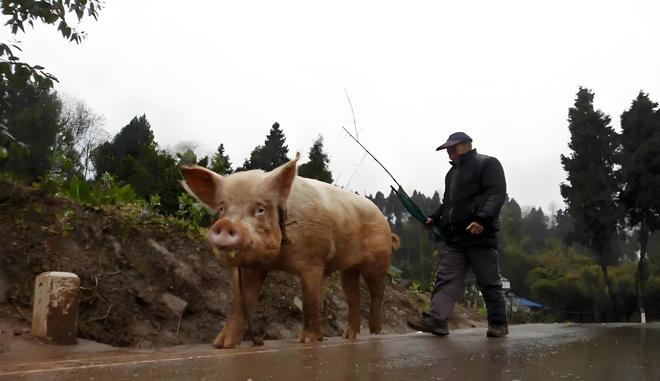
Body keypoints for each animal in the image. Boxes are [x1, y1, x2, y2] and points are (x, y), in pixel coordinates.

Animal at [178, 154, 400, 348]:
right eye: (222, 208)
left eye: (260, 209)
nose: (224, 224)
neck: (278, 260)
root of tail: (383, 219)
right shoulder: (251, 268)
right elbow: (241, 303)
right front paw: (220, 345)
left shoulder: (313, 261)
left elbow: (310, 301)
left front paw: (308, 341)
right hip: (349, 268)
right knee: (353, 295)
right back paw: (348, 336)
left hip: (378, 260)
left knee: (378, 291)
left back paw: (375, 331)